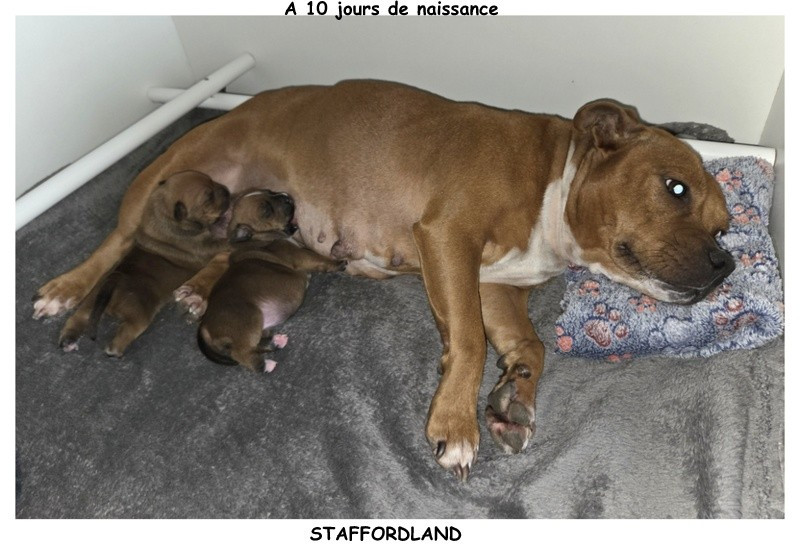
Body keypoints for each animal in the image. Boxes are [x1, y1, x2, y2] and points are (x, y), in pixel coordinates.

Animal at [198, 239, 345, 373]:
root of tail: (204, 326)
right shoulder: (300, 255)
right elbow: (320, 258)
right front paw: (339, 263)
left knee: (257, 343)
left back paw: (276, 341)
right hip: (250, 317)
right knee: (242, 353)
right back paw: (265, 366)